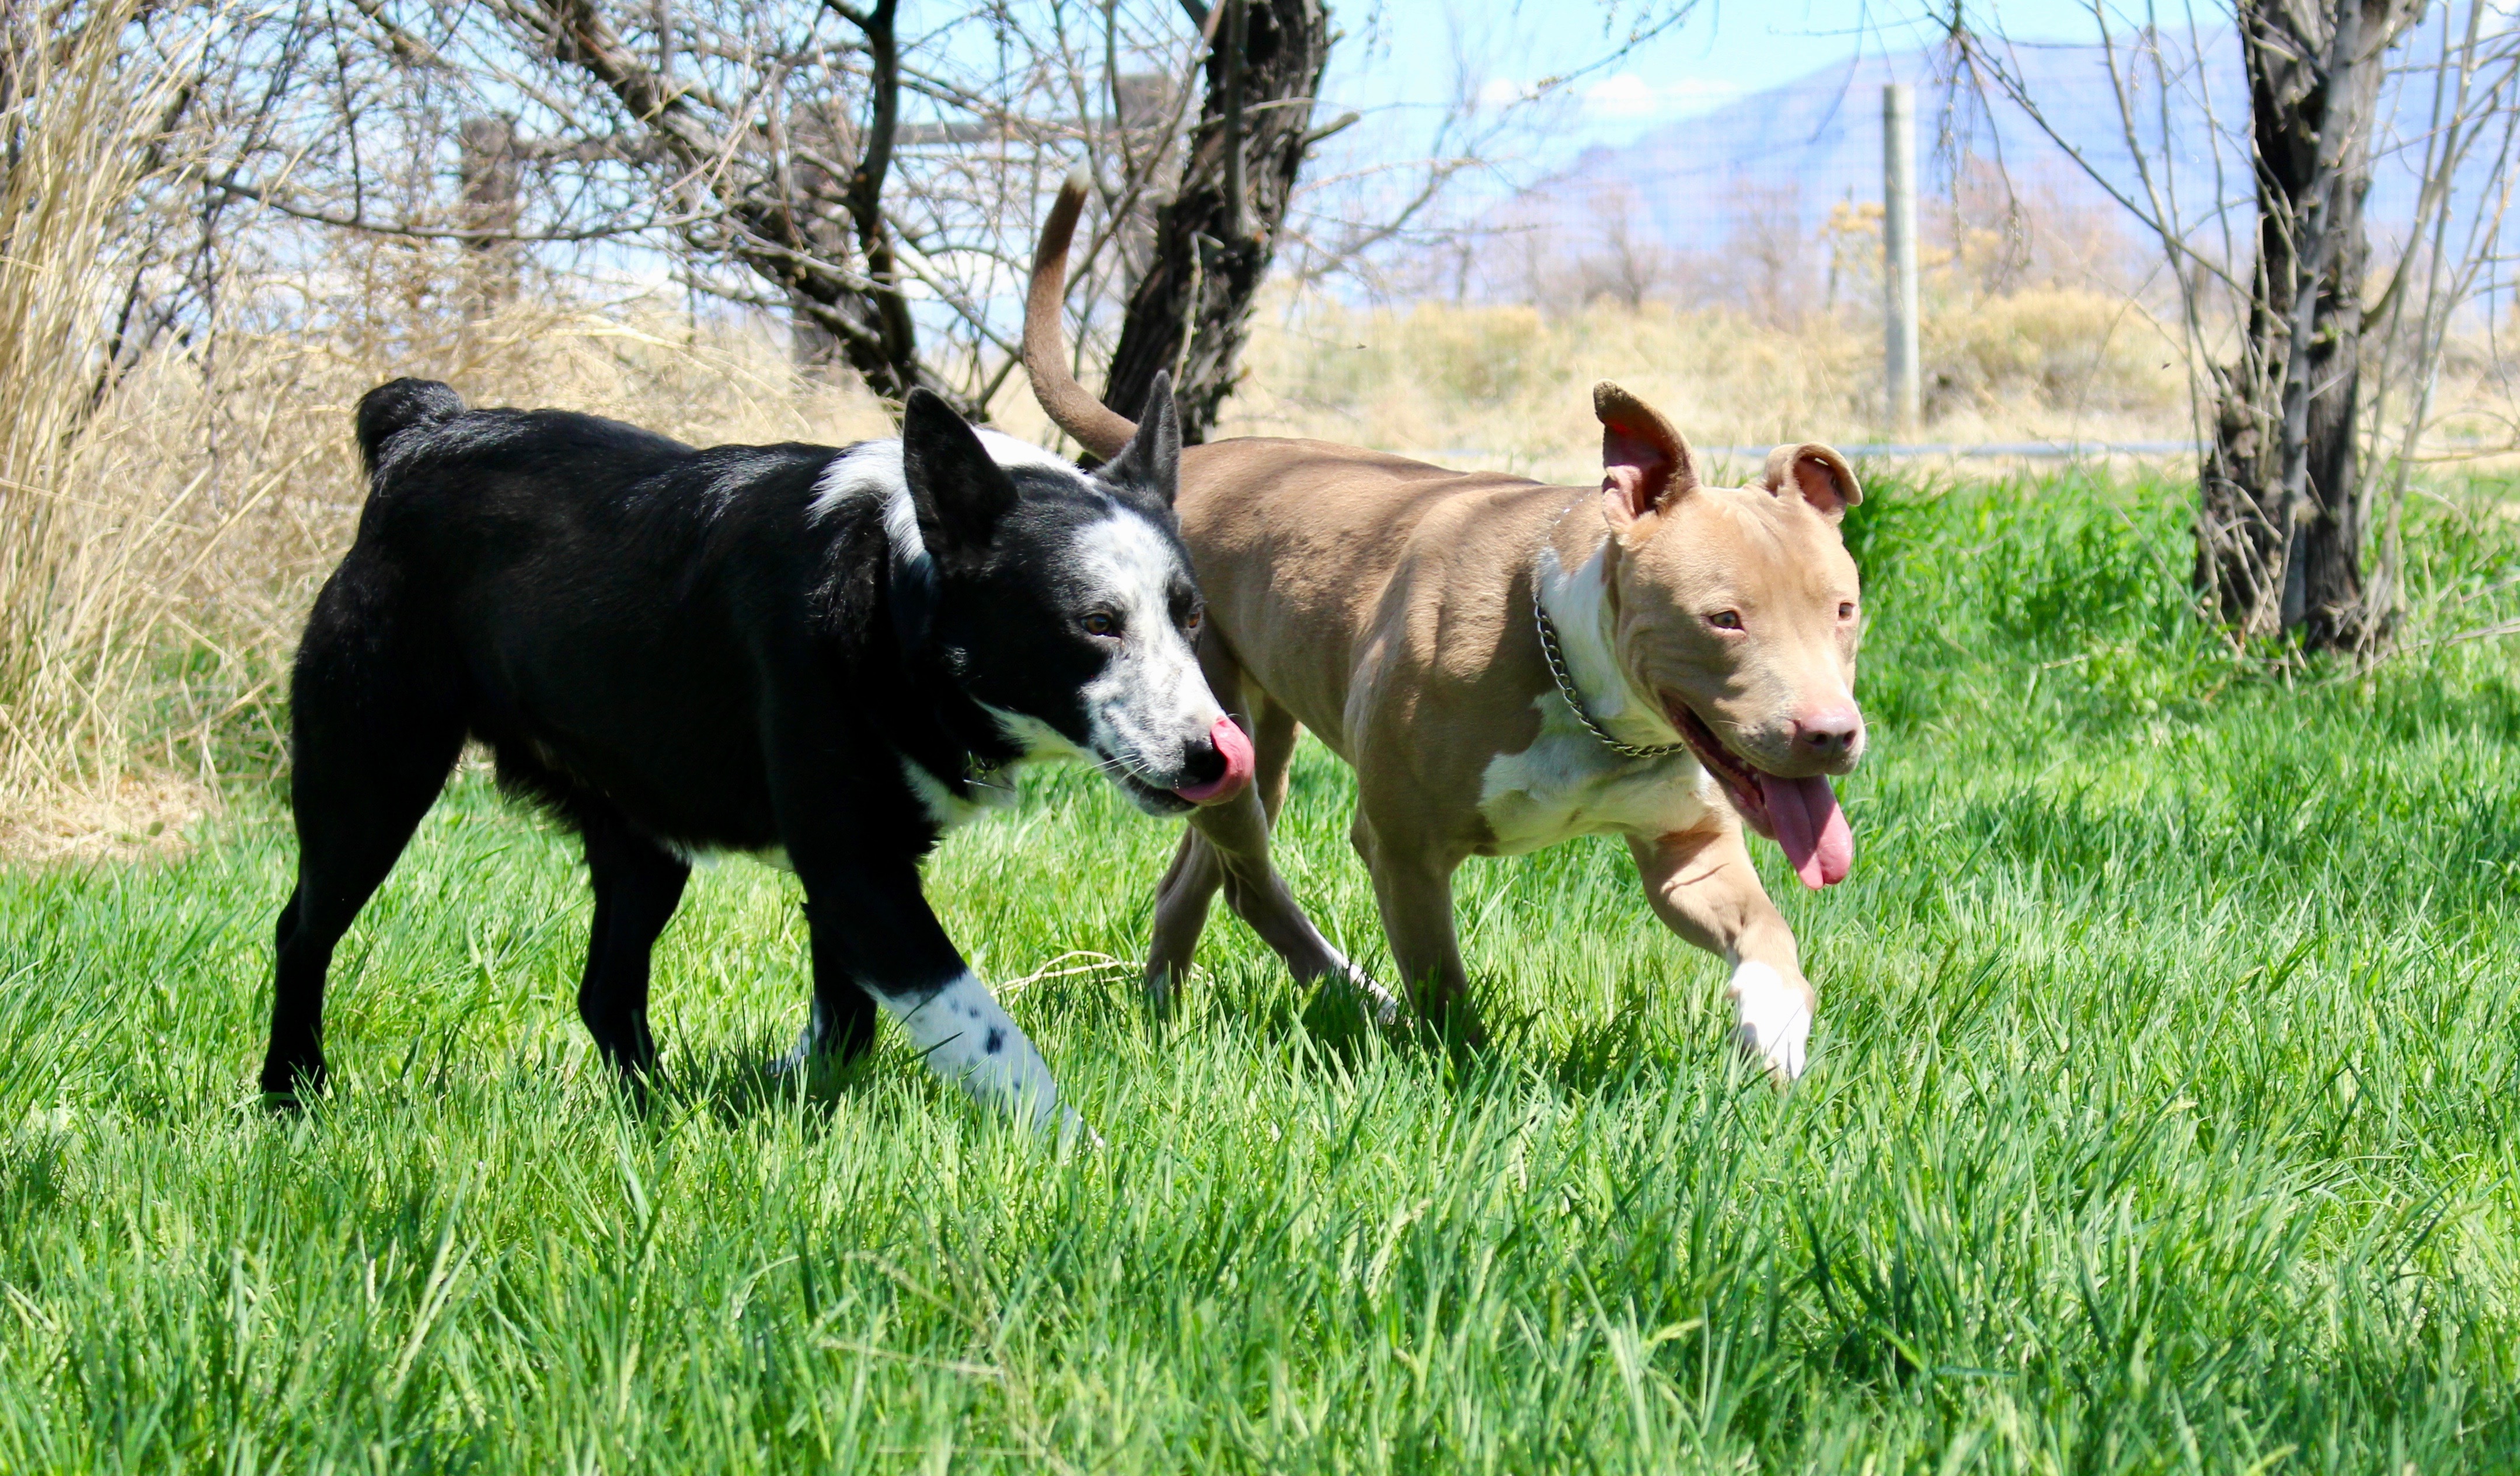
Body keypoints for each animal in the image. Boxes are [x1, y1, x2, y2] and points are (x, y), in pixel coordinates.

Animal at [266, 368, 1250, 1128]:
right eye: (1095, 623)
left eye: (1191, 615)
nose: (1216, 757)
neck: (888, 590)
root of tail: (424, 431)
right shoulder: (859, 876)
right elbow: (986, 1033)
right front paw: (1074, 1149)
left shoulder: (857, 877)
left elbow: (848, 1025)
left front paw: (801, 1099)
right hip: (371, 780)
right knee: (300, 932)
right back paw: (292, 1096)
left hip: (643, 840)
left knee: (605, 990)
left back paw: (656, 1114)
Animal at [1013, 175, 1864, 1078]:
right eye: (1724, 619)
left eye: (1843, 610)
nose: (1831, 735)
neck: (1577, 680)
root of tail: (1190, 465)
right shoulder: (1403, 847)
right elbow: (1442, 985)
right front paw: (1469, 1066)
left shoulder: (1688, 848)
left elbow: (1764, 927)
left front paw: (1775, 1020)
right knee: (1250, 880)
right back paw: (1355, 997)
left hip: (1245, 743)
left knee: (1198, 881)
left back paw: (1166, 1013)